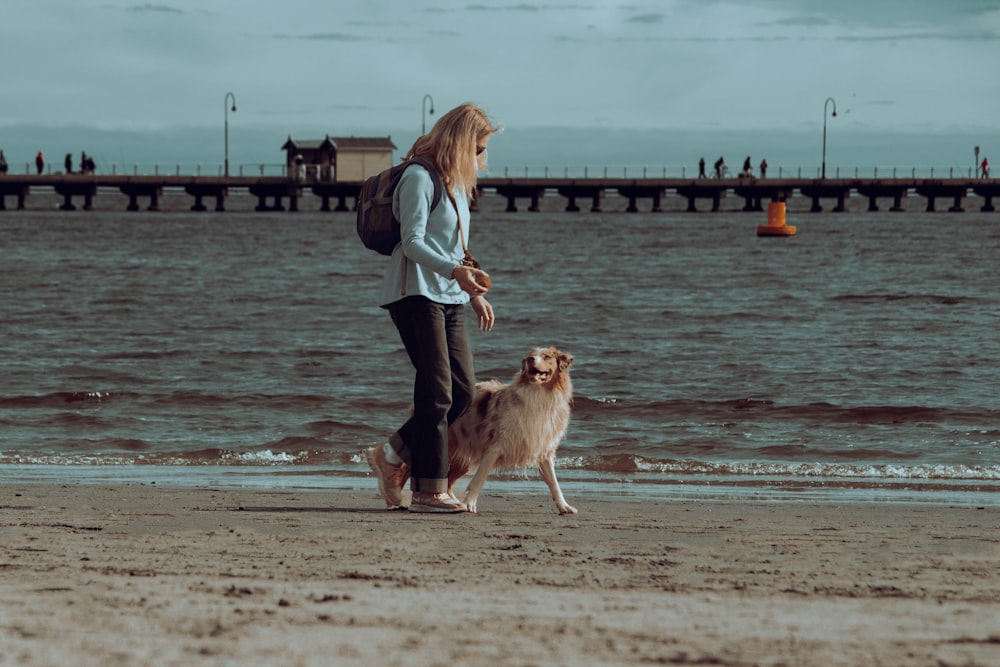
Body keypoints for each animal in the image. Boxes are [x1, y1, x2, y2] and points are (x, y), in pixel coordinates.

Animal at [448, 348, 580, 516]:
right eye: (531, 355)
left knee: (448, 481)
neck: (539, 394)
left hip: (466, 459)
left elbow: (554, 483)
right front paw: (469, 504)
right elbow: (479, 478)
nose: (530, 359)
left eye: (547, 356)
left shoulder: (543, 449)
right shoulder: (495, 447)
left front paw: (564, 506)